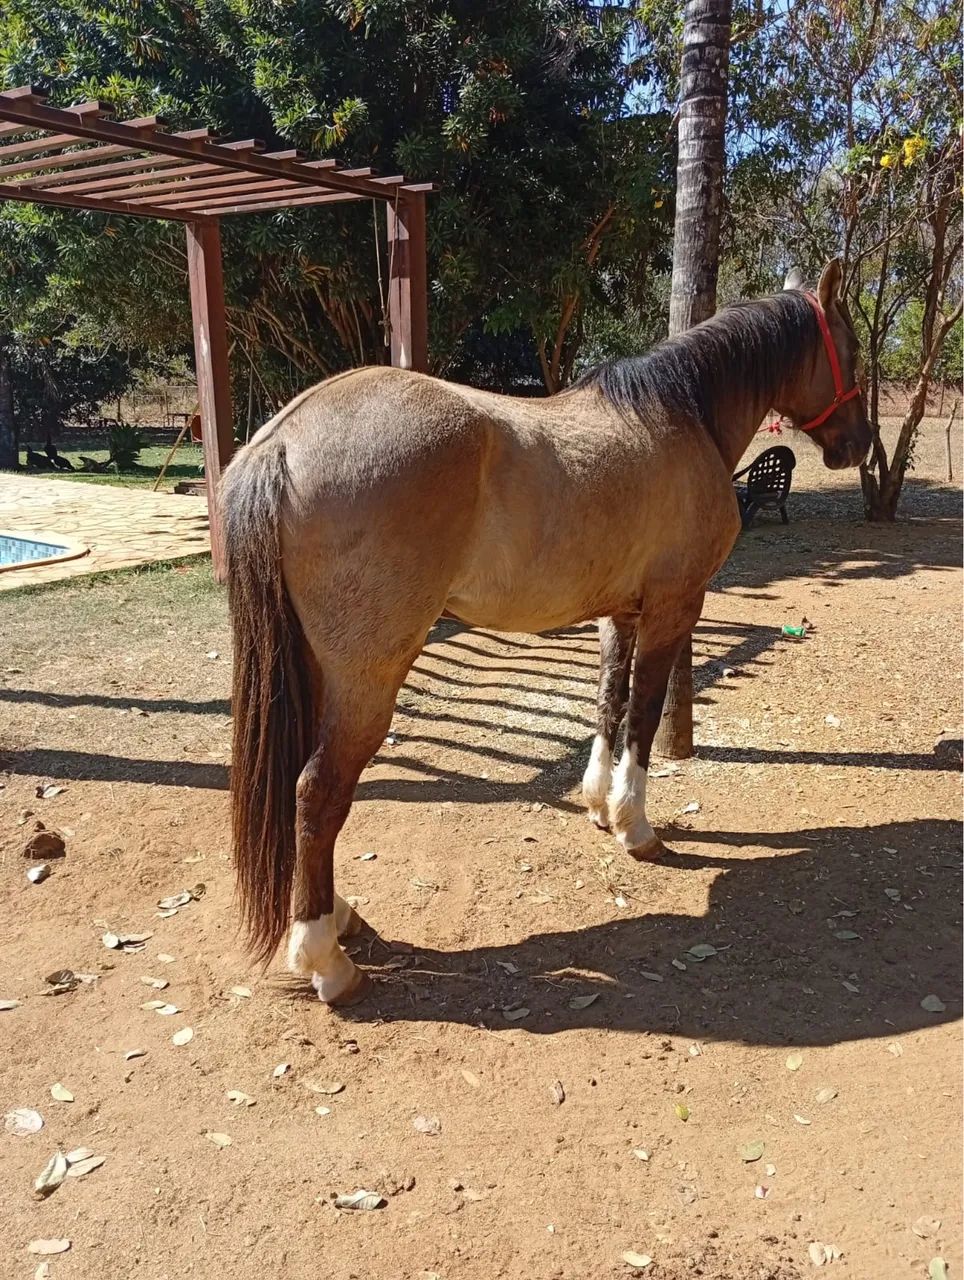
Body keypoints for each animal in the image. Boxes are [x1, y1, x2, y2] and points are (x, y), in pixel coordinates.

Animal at [221, 257, 871, 1005]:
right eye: (851, 348)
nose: (860, 444)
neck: (685, 415)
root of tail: (283, 441)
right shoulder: (675, 608)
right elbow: (644, 714)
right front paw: (635, 826)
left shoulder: (620, 612)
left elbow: (609, 703)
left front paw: (597, 804)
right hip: (366, 681)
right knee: (317, 795)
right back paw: (325, 959)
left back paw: (341, 918)